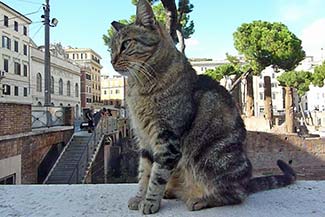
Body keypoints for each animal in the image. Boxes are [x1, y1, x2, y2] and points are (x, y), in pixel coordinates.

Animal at [109, 0, 296, 214]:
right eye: (110, 49)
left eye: (125, 44)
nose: (112, 61)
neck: (140, 86)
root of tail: (247, 182)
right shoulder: (145, 140)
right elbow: (144, 174)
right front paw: (140, 197)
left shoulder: (167, 139)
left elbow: (156, 177)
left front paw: (149, 202)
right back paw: (172, 192)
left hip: (213, 161)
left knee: (236, 194)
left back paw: (201, 199)